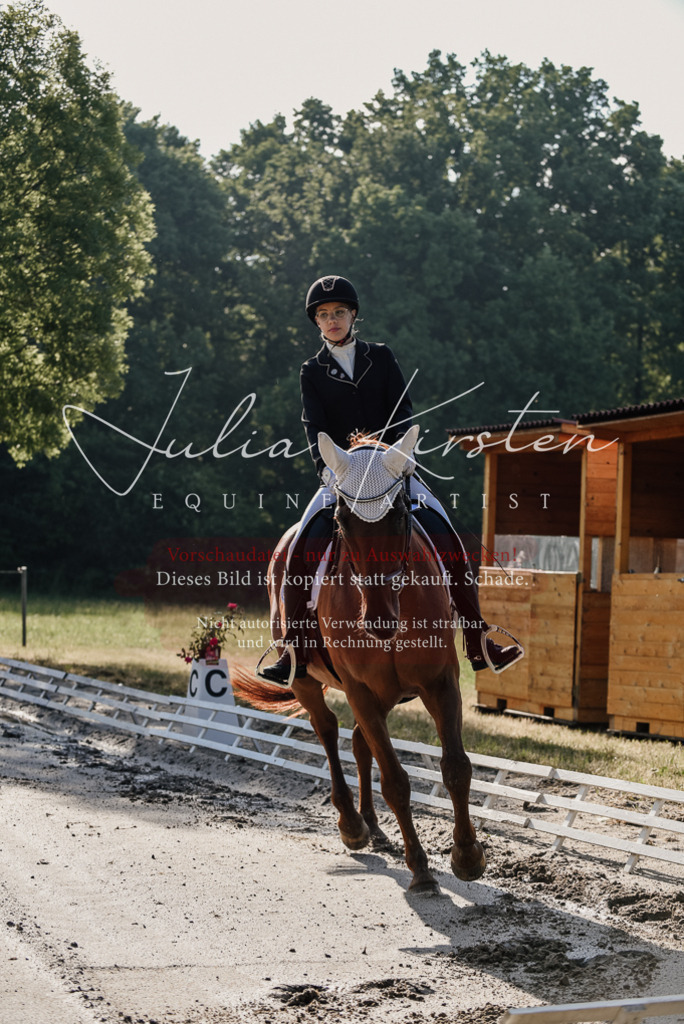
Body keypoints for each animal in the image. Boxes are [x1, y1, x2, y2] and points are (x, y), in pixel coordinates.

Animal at [230, 426, 486, 893]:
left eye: (401, 514)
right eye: (342, 521)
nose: (380, 619)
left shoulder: (440, 683)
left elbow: (456, 768)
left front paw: (467, 856)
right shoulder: (361, 691)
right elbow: (395, 781)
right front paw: (420, 869)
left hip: (383, 696)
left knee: (356, 741)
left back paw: (373, 825)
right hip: (309, 681)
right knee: (328, 731)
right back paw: (352, 824)